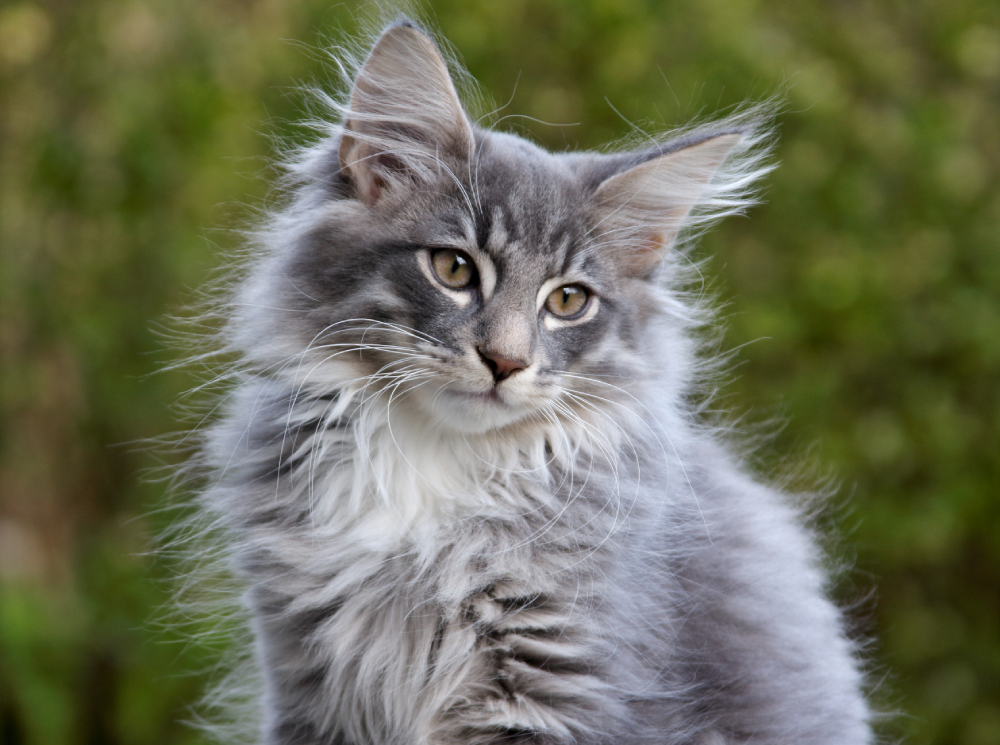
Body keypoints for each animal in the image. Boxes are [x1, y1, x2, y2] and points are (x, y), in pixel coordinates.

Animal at [189, 16, 876, 744]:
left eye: (568, 300)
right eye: (454, 269)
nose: (506, 361)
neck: (435, 466)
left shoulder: (557, 680)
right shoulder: (309, 678)